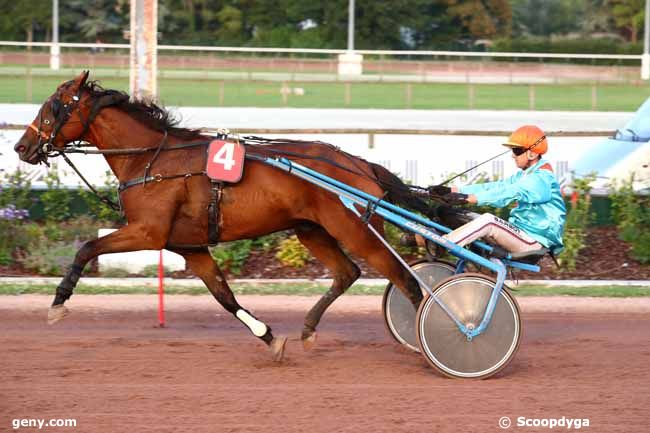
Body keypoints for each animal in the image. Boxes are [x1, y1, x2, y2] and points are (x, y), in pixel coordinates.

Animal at [12, 71, 428, 362]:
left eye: (52, 106)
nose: (21, 146)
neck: (152, 160)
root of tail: (362, 165)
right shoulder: (190, 246)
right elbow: (224, 296)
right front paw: (270, 338)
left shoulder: (147, 232)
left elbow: (87, 247)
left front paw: (58, 304)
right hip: (311, 230)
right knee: (347, 273)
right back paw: (309, 329)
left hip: (355, 229)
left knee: (405, 280)